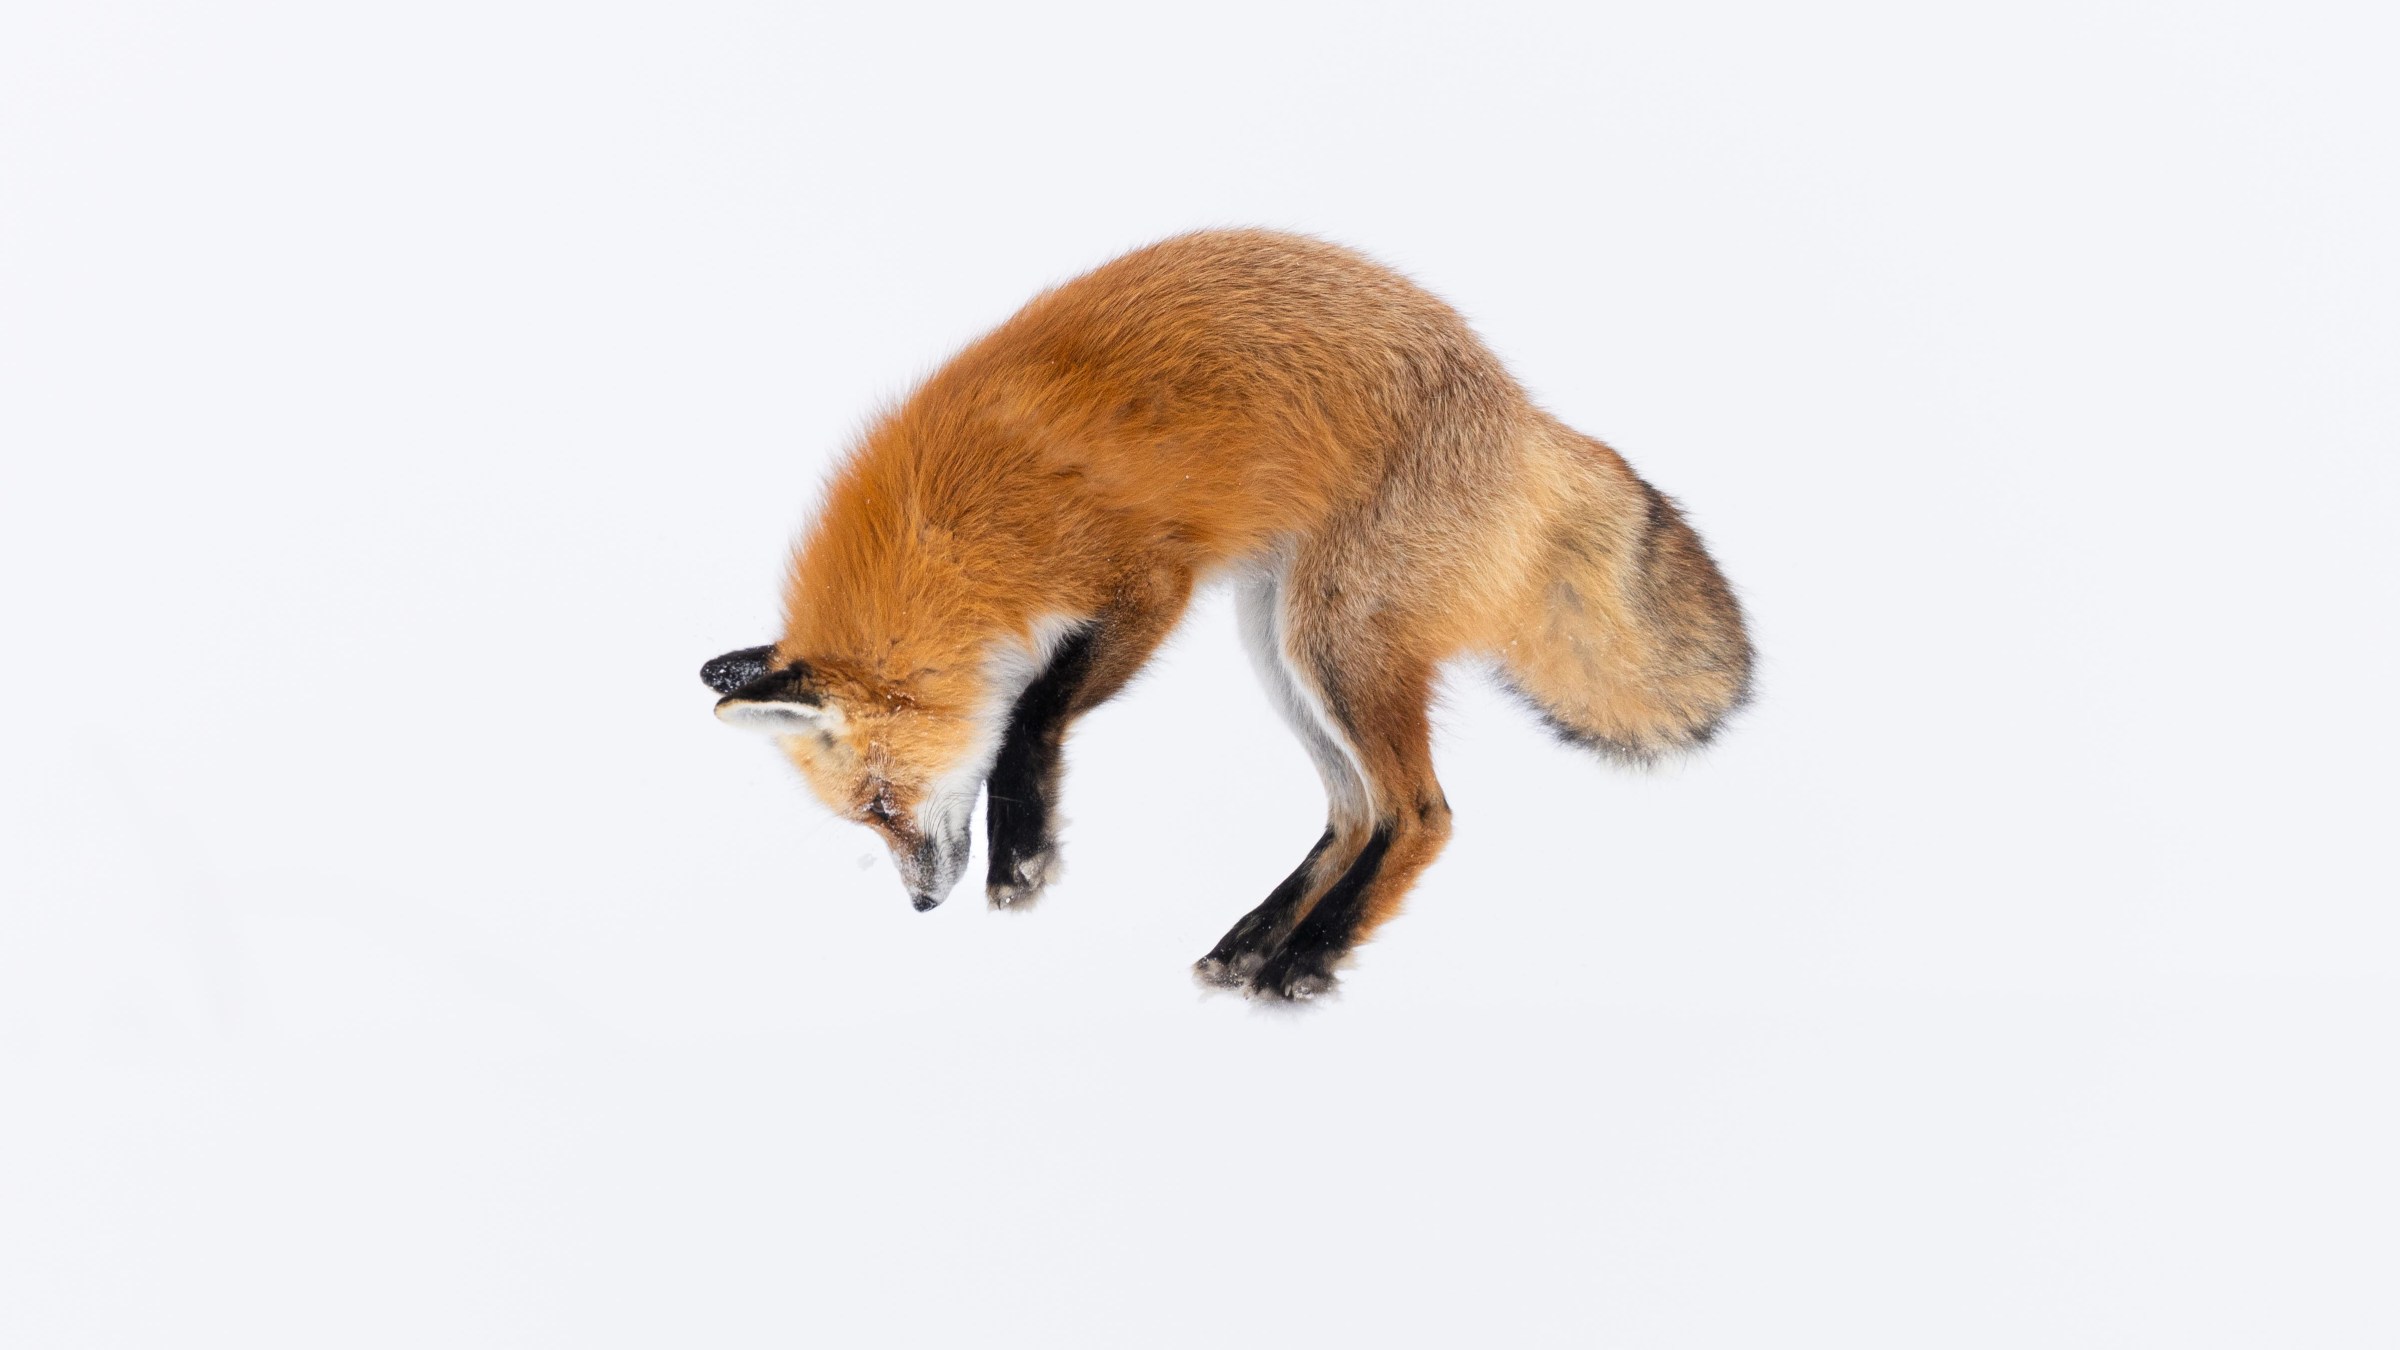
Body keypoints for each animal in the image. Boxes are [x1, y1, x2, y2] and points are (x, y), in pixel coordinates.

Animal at [701, 229, 1752, 1000]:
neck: (954, 535)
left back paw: (1309, 958)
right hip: (1279, 644)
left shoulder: (1147, 584)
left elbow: (1032, 712)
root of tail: (1517, 407)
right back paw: (1255, 942)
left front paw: (1021, 858)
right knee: (1355, 810)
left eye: (882, 806)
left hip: (1329, 640)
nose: (921, 909)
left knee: (1422, 814)